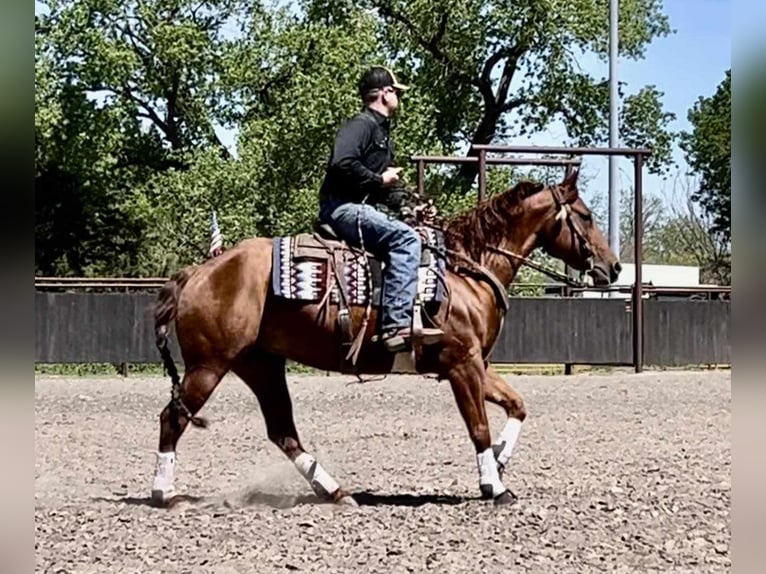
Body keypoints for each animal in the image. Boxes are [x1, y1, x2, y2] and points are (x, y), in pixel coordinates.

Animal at [150, 170, 624, 508]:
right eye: (586, 216)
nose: (614, 267)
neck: (465, 267)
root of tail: (198, 271)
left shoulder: (474, 364)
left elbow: (517, 405)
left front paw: (501, 463)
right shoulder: (462, 365)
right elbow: (478, 428)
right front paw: (494, 485)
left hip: (261, 365)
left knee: (283, 432)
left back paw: (336, 492)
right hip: (209, 366)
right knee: (172, 419)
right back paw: (165, 494)